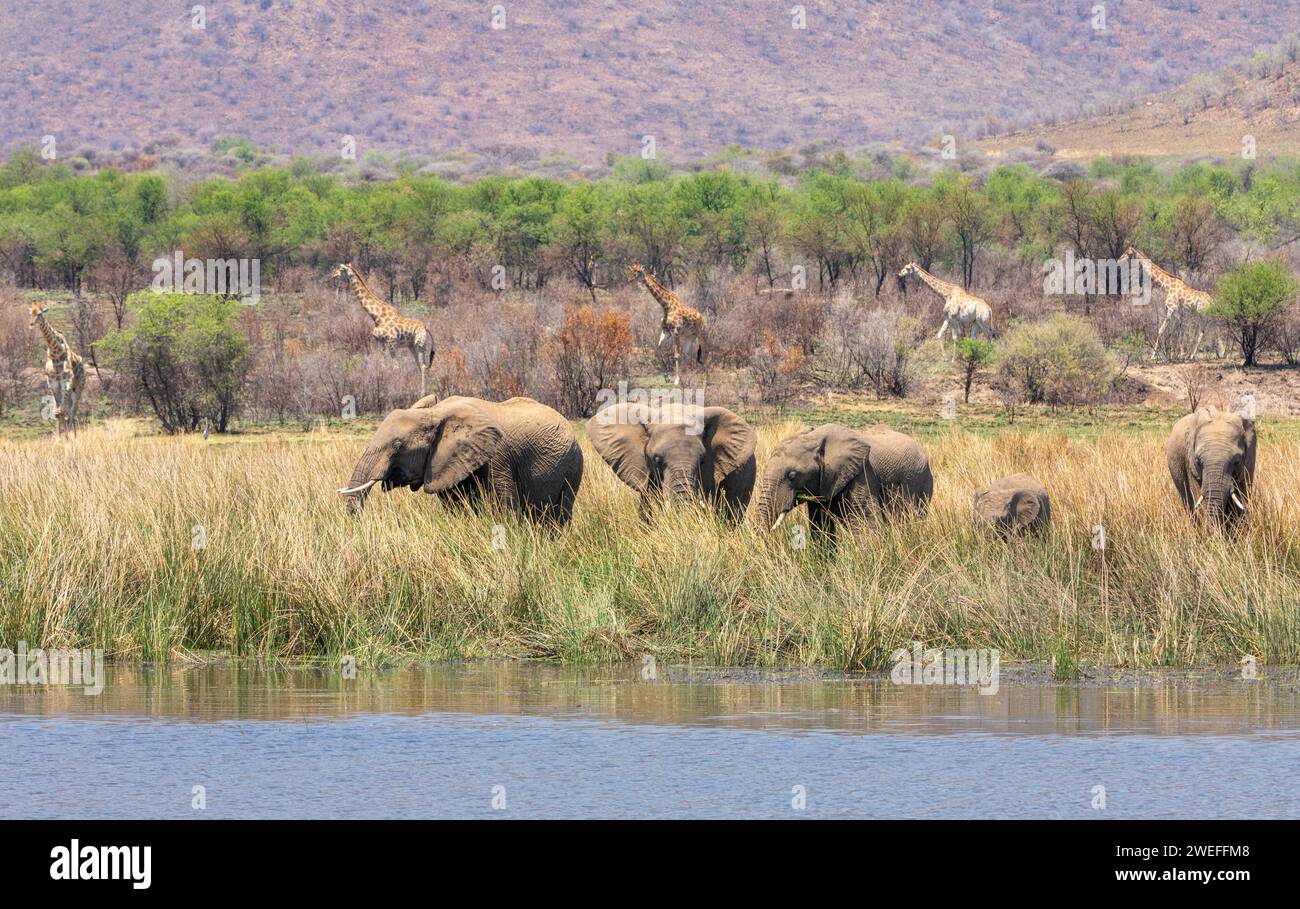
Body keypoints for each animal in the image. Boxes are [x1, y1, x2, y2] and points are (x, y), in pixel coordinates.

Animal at [28, 301, 85, 436]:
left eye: (39, 313)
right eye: (30, 313)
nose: (31, 324)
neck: (56, 352)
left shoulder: (66, 381)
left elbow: (61, 411)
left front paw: (67, 437)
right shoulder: (53, 383)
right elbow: (57, 412)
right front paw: (60, 437)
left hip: (78, 387)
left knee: (73, 410)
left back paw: (74, 434)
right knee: (68, 410)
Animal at [332, 261, 434, 392]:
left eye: (340, 269)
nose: (333, 276)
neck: (376, 315)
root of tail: (426, 328)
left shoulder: (391, 342)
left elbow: (395, 367)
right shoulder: (380, 342)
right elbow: (382, 364)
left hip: (419, 345)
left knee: (423, 366)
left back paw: (422, 392)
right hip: (412, 346)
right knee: (421, 365)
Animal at [338, 395, 582, 522]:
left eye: (398, 446)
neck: (436, 412)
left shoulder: (498, 457)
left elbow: (503, 507)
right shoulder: (444, 464)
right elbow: (455, 505)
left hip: (573, 465)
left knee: (560, 515)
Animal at [754, 423, 935, 535]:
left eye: (792, 476)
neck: (814, 438)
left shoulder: (863, 474)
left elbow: (865, 523)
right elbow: (821, 527)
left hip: (924, 483)